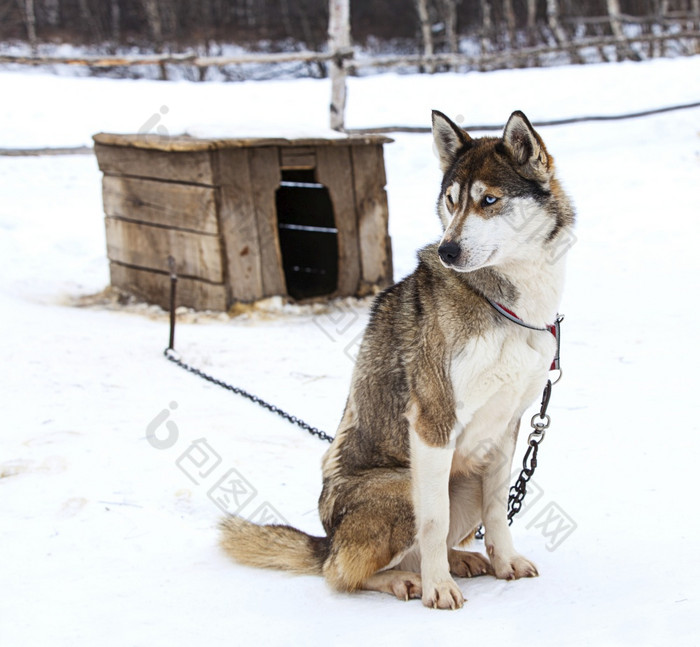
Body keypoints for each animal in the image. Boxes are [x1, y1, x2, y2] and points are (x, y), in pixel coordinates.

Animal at [221, 109, 576, 612]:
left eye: (488, 200)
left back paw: (459, 560)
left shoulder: (506, 428)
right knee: (342, 572)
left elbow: (496, 510)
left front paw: (505, 563)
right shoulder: (432, 422)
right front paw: (438, 588)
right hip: (402, 484)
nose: (447, 250)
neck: (507, 303)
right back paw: (406, 580)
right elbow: (432, 522)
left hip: (461, 480)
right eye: (451, 201)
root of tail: (328, 538)